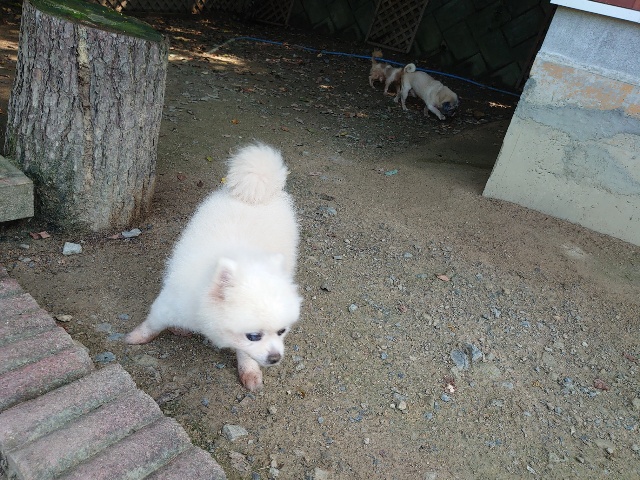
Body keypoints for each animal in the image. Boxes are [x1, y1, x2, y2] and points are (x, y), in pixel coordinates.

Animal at [125, 143, 302, 392]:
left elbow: (246, 355)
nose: (276, 358)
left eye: (281, 331)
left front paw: (249, 371)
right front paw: (136, 337)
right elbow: (152, 323)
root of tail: (256, 194)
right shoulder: (172, 304)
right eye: (254, 335)